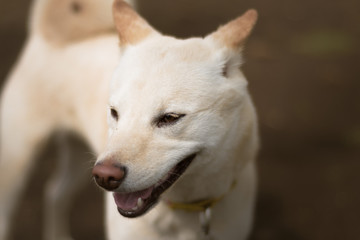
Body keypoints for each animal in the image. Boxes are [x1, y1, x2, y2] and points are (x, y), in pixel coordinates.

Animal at [0, 0, 258, 239]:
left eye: (170, 118)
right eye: (114, 112)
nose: (105, 177)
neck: (186, 210)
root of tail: (49, 35)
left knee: (54, 192)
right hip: (16, 167)